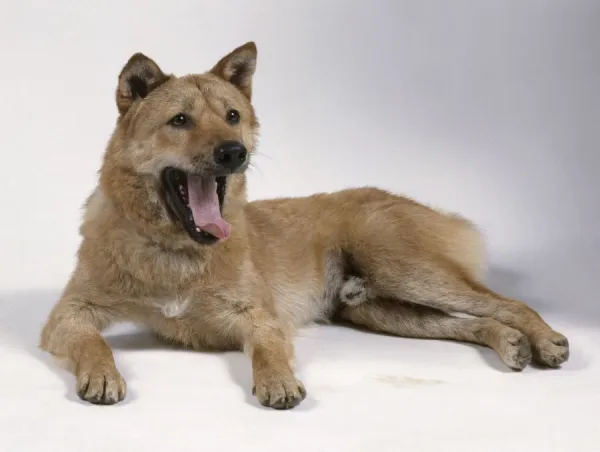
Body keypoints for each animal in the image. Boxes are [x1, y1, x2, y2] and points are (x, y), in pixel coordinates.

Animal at [39, 41, 568, 410]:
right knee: (472, 320)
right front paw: (103, 373)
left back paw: (544, 339)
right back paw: (509, 342)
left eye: (233, 115)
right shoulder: (68, 316)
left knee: (507, 302)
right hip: (379, 310)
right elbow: (93, 342)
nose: (234, 151)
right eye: (180, 120)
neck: (175, 252)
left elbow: (268, 350)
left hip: (405, 270)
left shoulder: (261, 318)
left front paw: (278, 380)